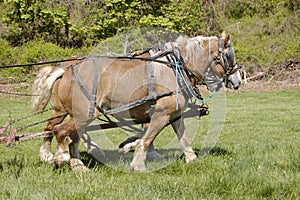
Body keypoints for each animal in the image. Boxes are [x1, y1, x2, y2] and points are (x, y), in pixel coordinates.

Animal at [31, 31, 240, 172]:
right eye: (229, 55)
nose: (237, 81)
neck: (175, 67)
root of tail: (65, 70)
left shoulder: (173, 113)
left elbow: (183, 137)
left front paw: (192, 159)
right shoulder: (161, 113)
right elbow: (147, 139)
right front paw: (138, 163)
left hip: (73, 113)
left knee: (64, 133)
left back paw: (75, 163)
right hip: (82, 114)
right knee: (59, 131)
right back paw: (59, 157)